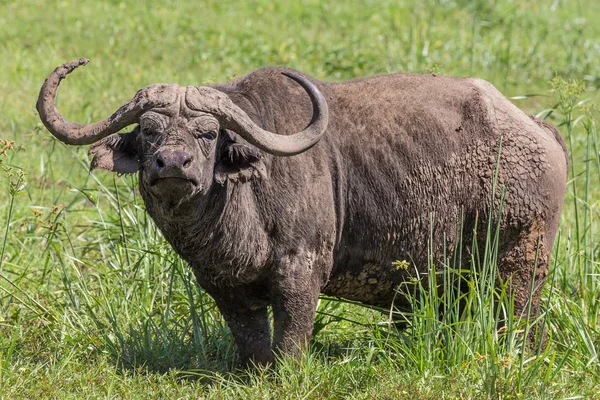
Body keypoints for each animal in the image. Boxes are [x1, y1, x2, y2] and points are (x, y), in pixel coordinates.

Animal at [37, 57, 568, 368]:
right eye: (149, 131)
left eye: (209, 134)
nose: (172, 163)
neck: (240, 209)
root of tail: (538, 130)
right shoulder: (222, 285)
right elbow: (250, 336)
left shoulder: (301, 268)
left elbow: (292, 331)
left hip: (519, 267)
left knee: (525, 321)